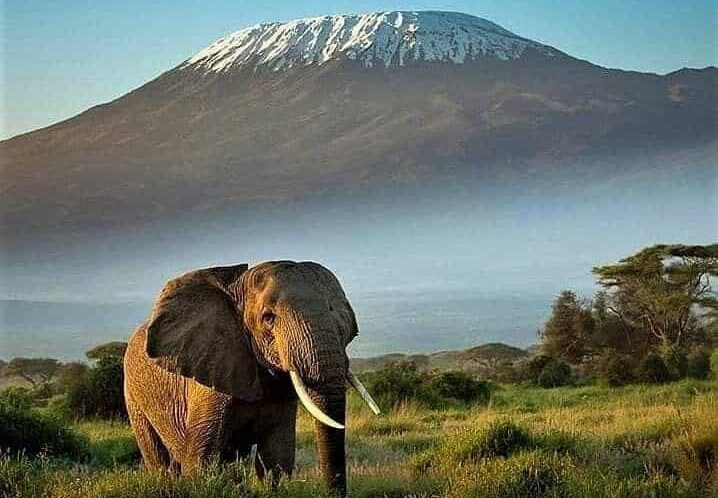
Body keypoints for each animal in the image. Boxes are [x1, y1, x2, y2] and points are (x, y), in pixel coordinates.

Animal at [123, 261, 379, 496]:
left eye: (333, 310)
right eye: (268, 318)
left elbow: (277, 456)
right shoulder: (211, 374)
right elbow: (202, 459)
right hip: (133, 395)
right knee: (159, 460)